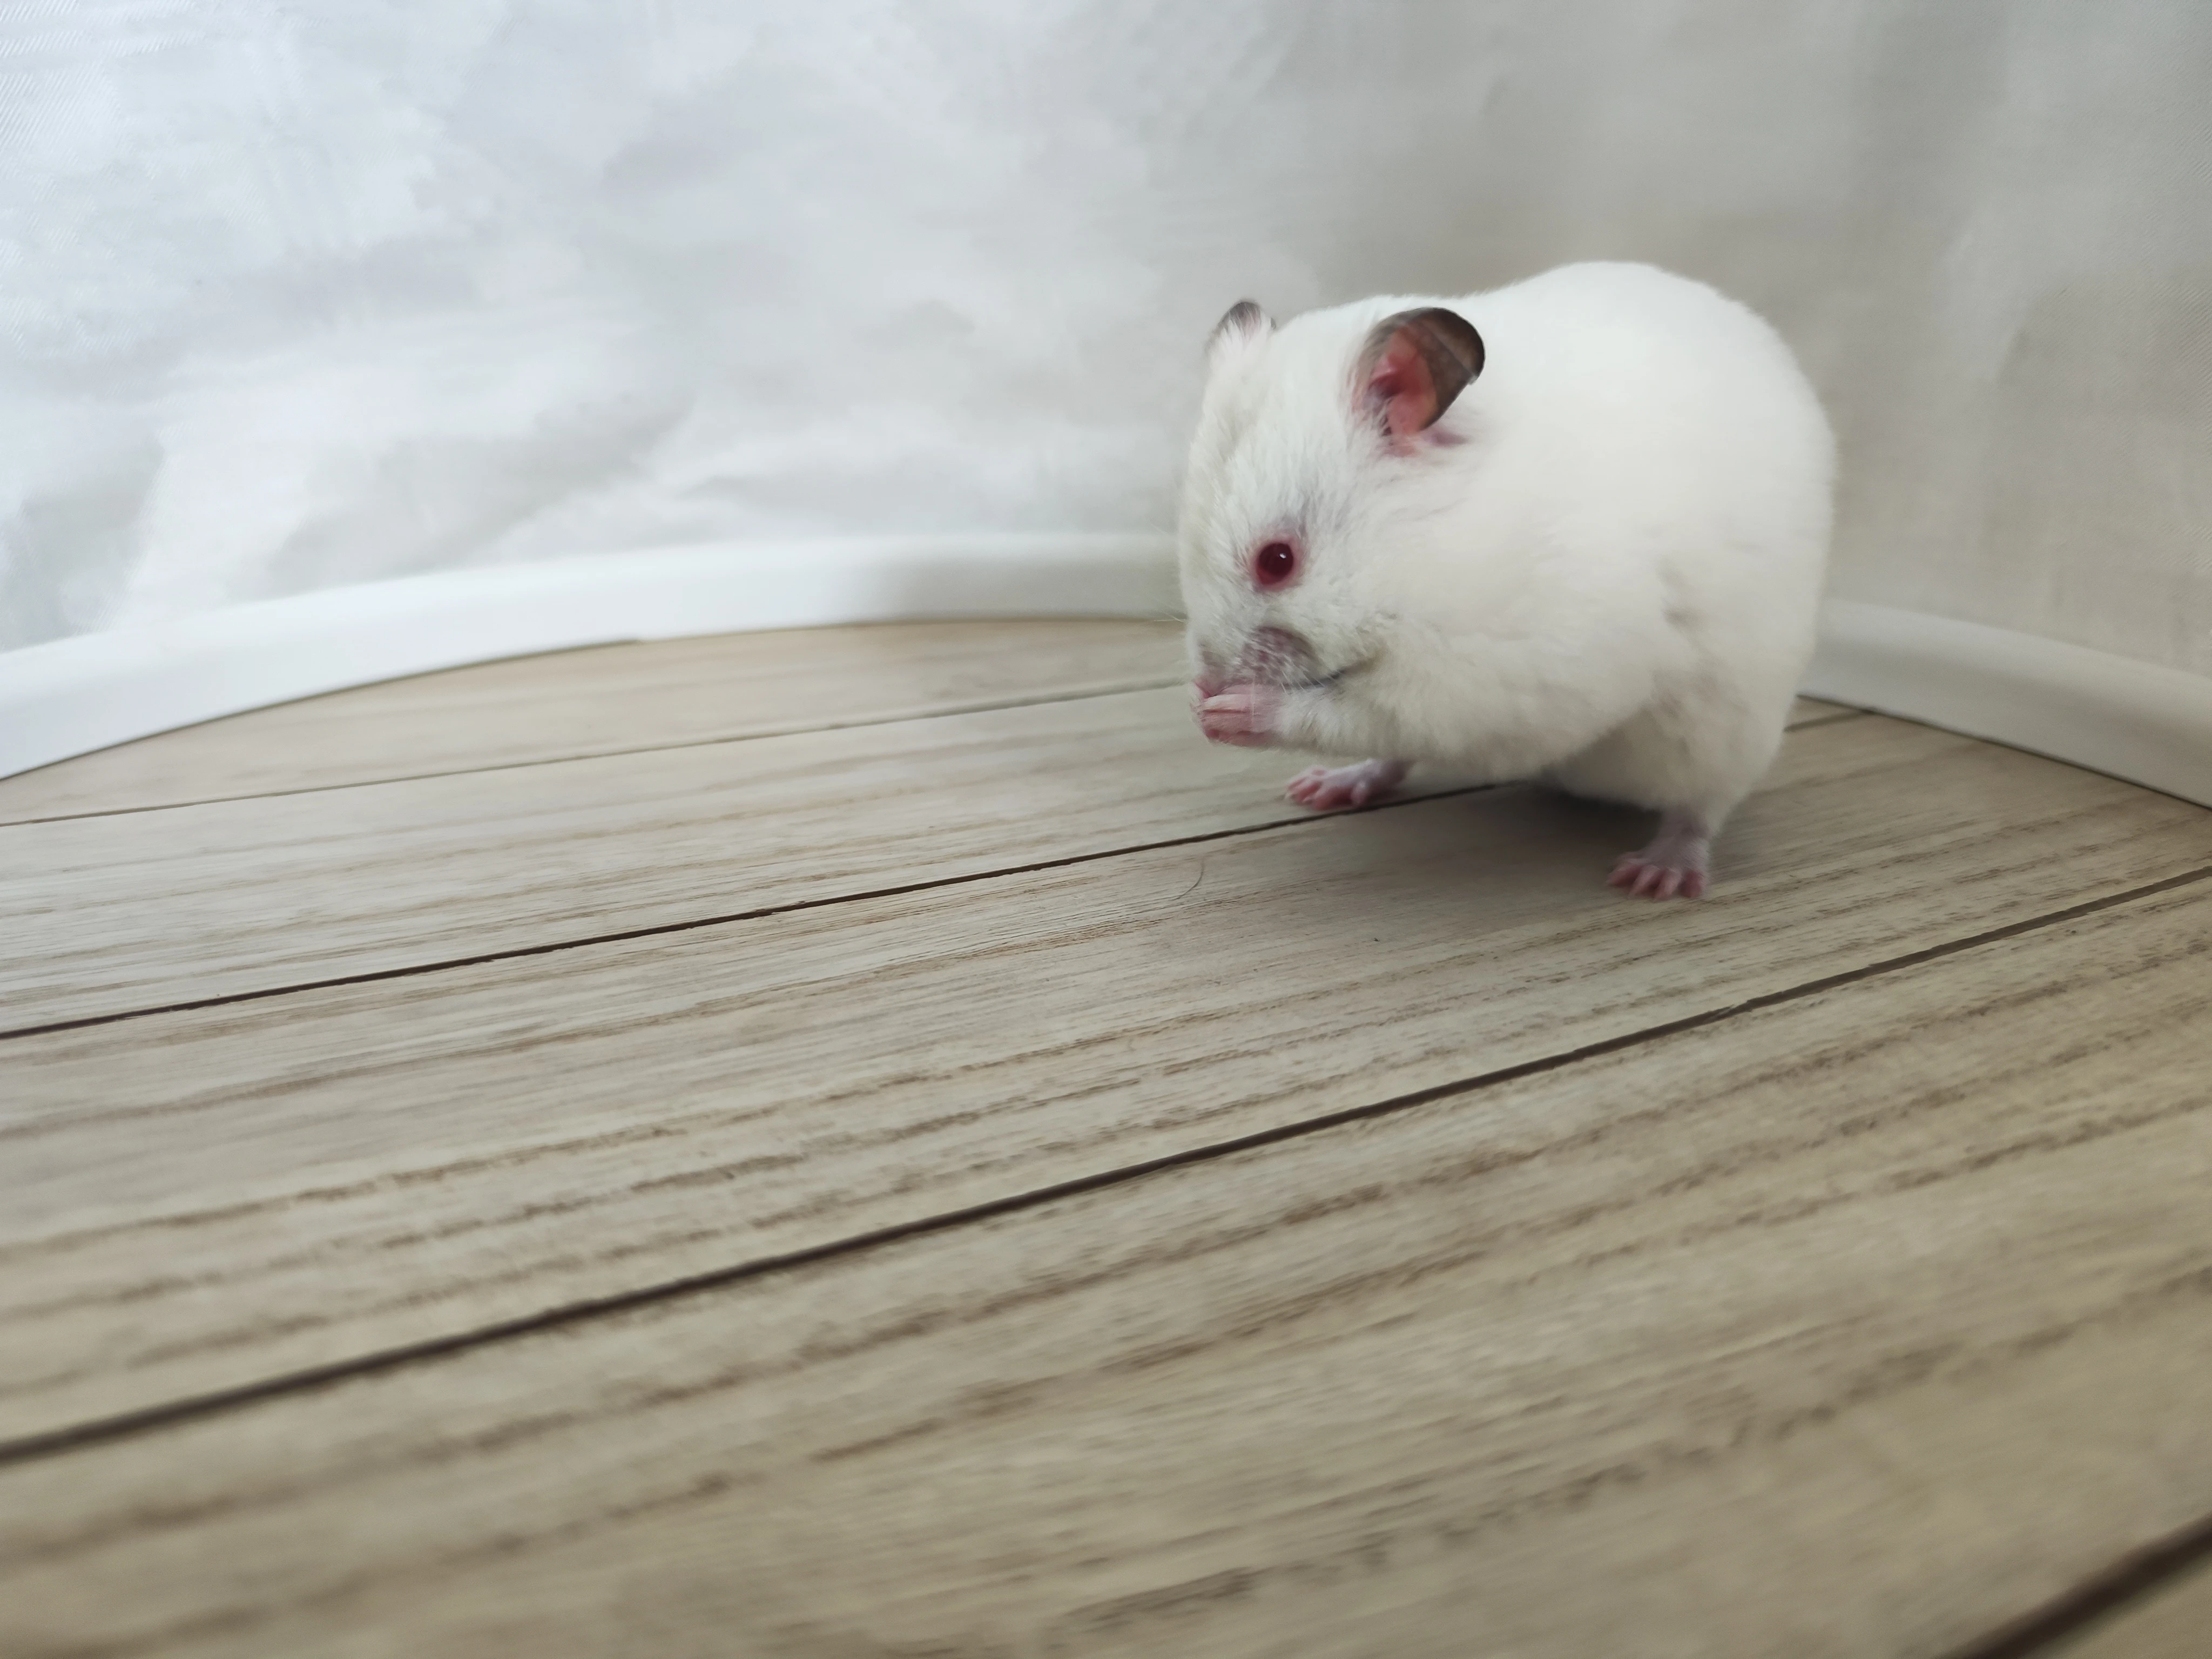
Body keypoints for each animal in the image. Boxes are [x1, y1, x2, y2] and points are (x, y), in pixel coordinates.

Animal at [1177, 261, 1834, 899]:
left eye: (1277, 560)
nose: (1210, 681)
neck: (1423, 548)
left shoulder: (1489, 681)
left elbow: (1359, 712)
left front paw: (1227, 712)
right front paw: (1200, 703)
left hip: (1730, 734)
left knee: (1702, 809)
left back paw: (1656, 876)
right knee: (1389, 762)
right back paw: (1324, 786)